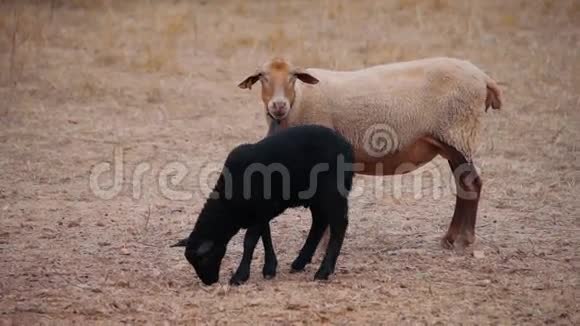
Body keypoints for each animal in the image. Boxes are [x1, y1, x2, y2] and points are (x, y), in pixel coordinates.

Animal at [173, 125, 354, 286]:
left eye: (203, 258)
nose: (209, 282)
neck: (228, 205)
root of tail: (346, 146)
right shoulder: (261, 213)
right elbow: (265, 236)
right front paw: (269, 268)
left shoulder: (260, 211)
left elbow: (249, 241)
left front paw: (240, 276)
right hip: (316, 197)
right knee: (319, 222)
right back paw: (299, 262)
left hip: (332, 191)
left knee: (339, 224)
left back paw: (323, 271)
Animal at [240, 56, 502, 250]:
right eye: (262, 77)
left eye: (293, 77)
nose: (278, 105)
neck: (299, 102)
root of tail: (483, 78)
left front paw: (321, 246)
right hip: (451, 142)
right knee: (464, 185)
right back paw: (451, 238)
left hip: (459, 132)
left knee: (471, 184)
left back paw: (463, 240)